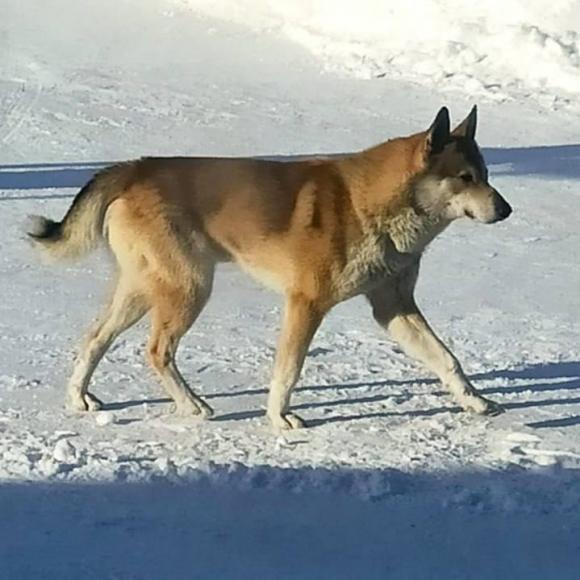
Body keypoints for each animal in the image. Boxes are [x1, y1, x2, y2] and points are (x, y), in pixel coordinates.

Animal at [28, 106, 512, 428]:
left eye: (487, 174)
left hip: (144, 287)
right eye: (465, 178)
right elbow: (289, 369)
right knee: (156, 350)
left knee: (94, 338)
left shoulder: (393, 306)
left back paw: (80, 399)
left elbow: (447, 359)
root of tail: (133, 169)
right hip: (188, 286)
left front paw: (476, 402)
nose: (506, 210)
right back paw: (192, 406)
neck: (372, 206)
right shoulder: (306, 304)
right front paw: (281, 420)